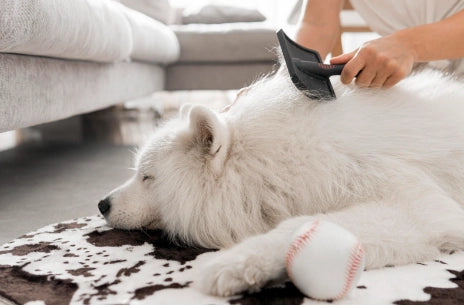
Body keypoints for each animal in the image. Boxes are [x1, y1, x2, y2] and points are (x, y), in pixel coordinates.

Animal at [99, 66, 464, 294]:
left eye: (147, 177)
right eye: (138, 173)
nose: (102, 204)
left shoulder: (416, 208)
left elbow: (297, 226)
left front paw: (232, 264)